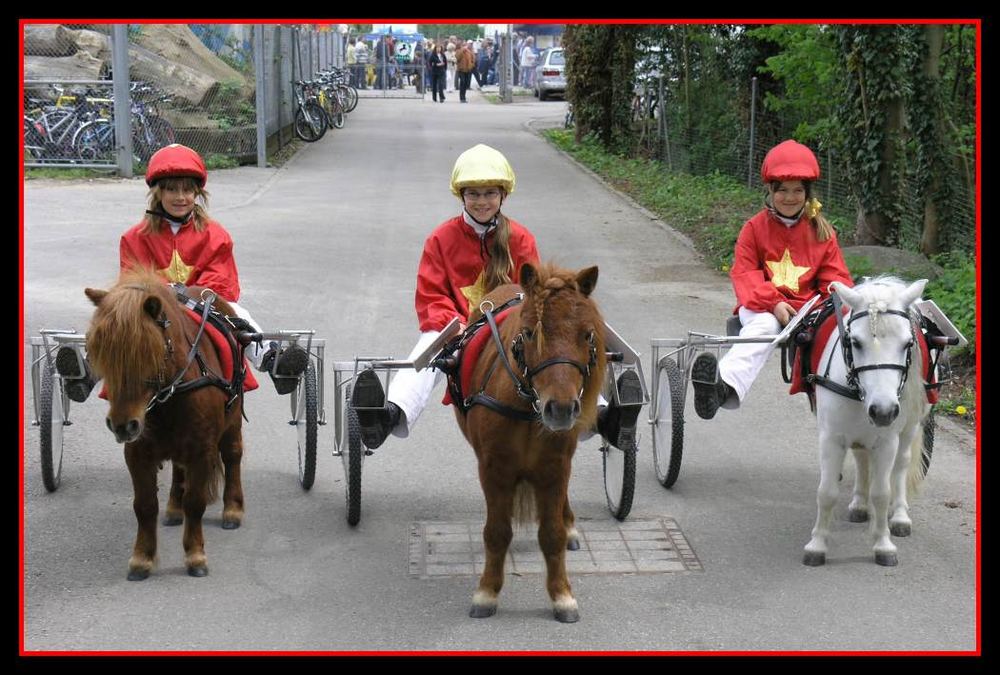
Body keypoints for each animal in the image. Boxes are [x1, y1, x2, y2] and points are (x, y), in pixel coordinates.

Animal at [83, 270, 245, 580]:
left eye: (148, 352)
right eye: (101, 352)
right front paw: (142, 558)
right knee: (179, 470)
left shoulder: (202, 450)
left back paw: (233, 509)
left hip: (232, 421)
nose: (122, 425)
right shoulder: (137, 453)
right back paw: (174, 507)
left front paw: (195, 555)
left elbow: (195, 502)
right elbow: (145, 505)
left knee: (232, 456)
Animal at [456, 260, 608, 624]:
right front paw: (487, 592)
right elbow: (497, 531)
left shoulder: (554, 468)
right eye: (527, 333)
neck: (528, 407)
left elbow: (551, 535)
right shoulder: (493, 468)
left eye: (587, 334)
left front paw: (562, 595)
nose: (561, 408)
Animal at [800, 278, 932, 568]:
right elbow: (826, 492)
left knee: (902, 465)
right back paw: (860, 504)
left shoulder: (887, 442)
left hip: (909, 428)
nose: (883, 411)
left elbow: (882, 494)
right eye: (855, 342)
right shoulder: (831, 438)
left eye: (908, 343)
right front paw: (817, 545)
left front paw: (883, 545)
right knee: (861, 459)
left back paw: (900, 516)